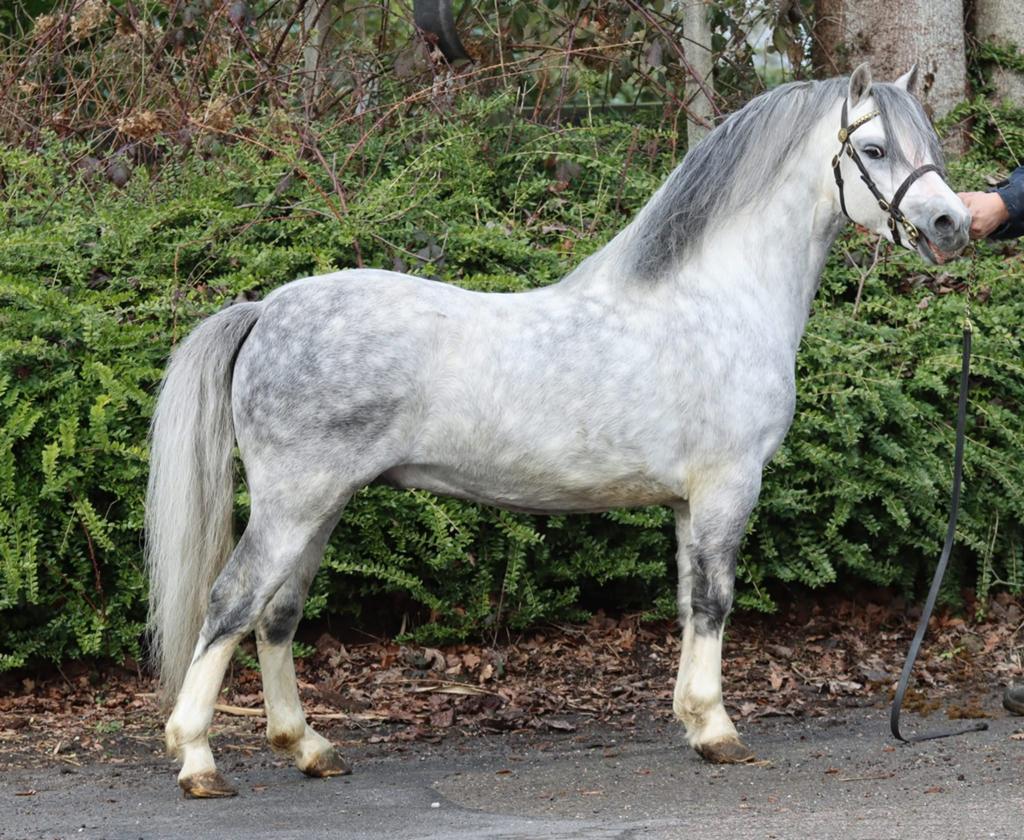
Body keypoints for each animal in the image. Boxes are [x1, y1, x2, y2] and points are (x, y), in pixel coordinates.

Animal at [145, 64, 970, 797]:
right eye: (874, 150)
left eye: (926, 143)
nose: (951, 224)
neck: (717, 299)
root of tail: (265, 310)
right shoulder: (727, 487)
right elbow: (714, 601)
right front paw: (718, 731)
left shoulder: (685, 504)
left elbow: (686, 601)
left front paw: (692, 720)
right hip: (294, 504)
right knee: (232, 604)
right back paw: (198, 761)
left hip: (322, 506)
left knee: (277, 614)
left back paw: (308, 748)